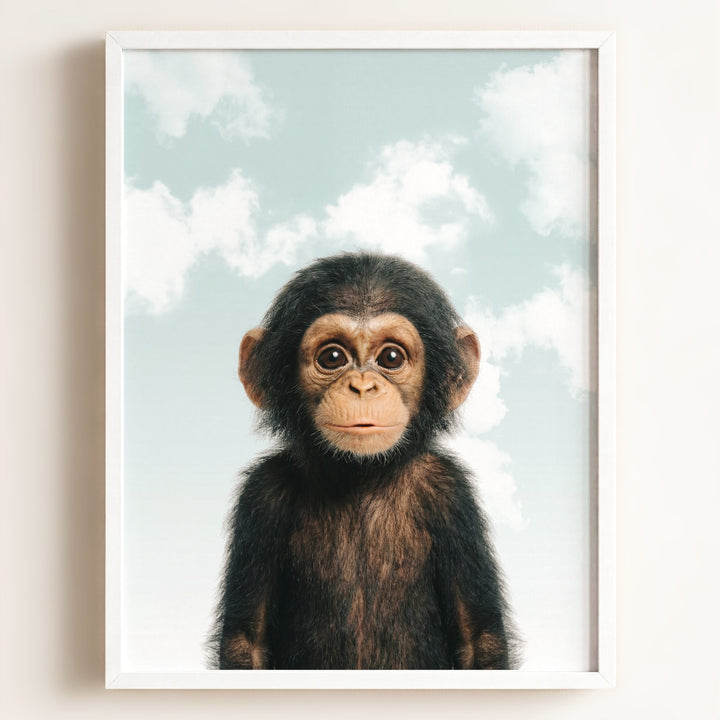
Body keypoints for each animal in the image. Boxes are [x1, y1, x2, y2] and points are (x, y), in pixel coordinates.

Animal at [210, 252, 519, 670]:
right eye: (332, 357)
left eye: (391, 357)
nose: (362, 386)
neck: (361, 476)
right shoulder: (262, 494)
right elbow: (246, 641)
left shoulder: (451, 493)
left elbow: (479, 640)